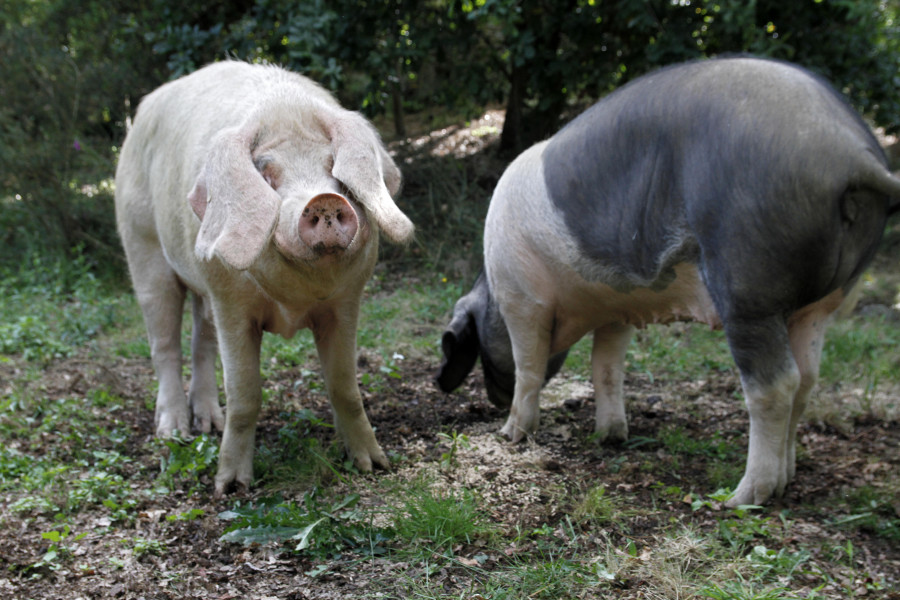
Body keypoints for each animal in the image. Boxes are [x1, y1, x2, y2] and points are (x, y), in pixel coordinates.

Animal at [438, 57, 900, 506]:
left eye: (474, 341)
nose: (493, 403)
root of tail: (851, 151)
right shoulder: (616, 307)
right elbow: (606, 369)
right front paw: (610, 436)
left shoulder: (523, 299)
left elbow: (529, 368)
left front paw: (510, 435)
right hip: (821, 303)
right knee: (806, 380)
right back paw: (787, 480)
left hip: (749, 286)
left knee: (775, 385)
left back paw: (742, 498)